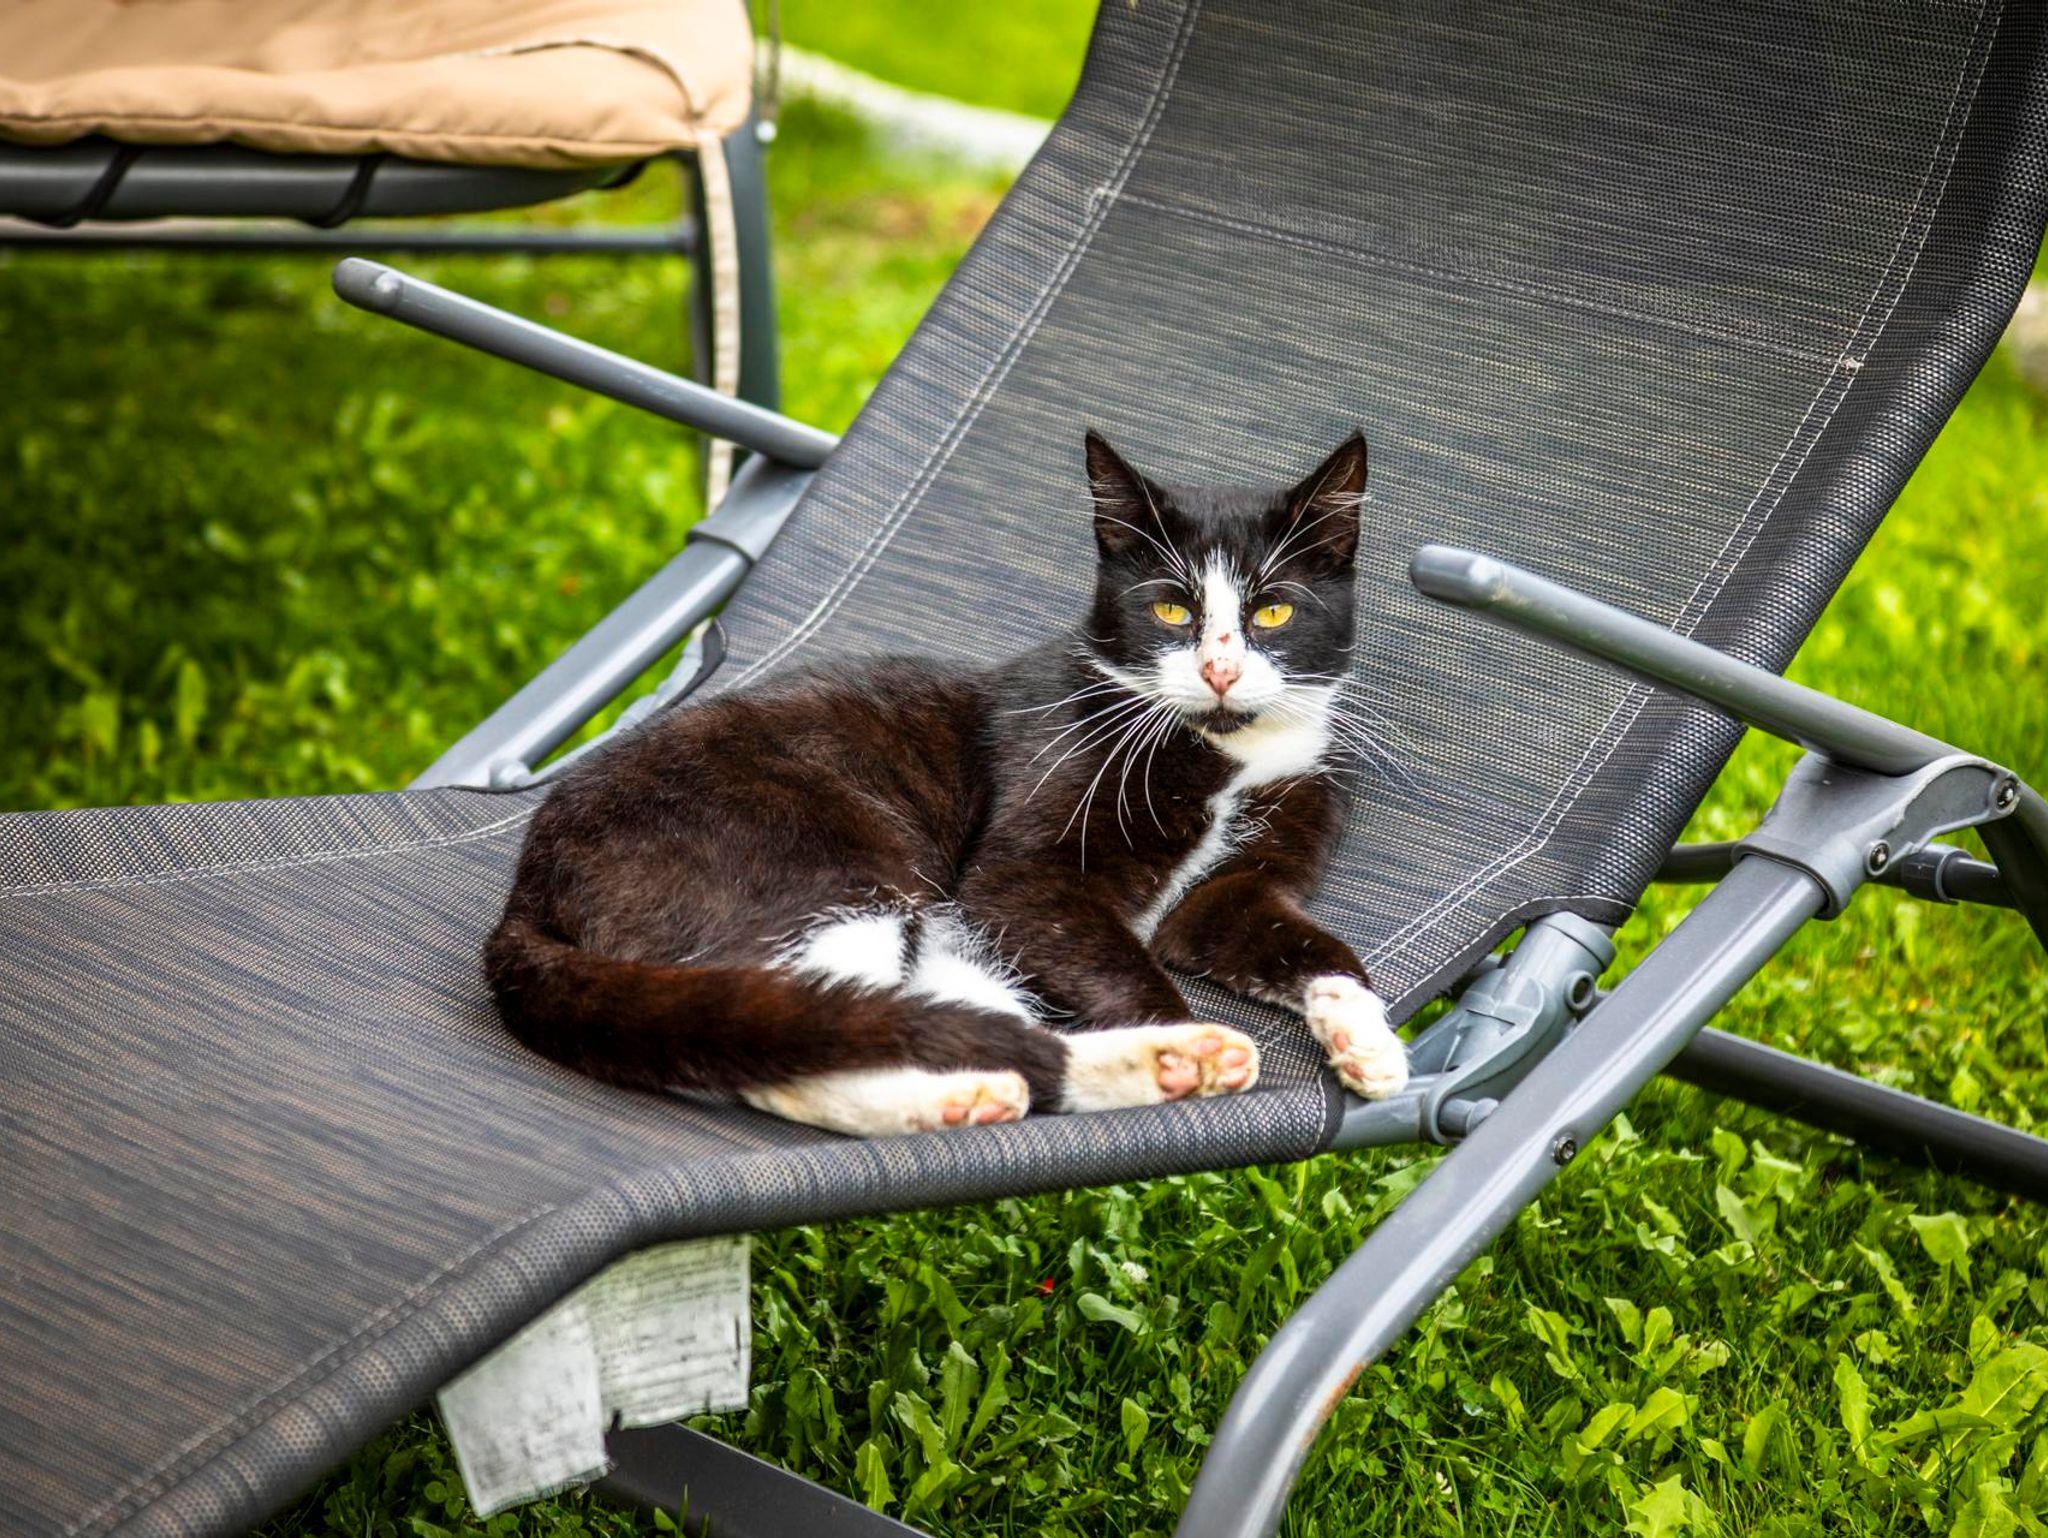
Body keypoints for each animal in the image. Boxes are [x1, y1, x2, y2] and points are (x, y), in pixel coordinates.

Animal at [484, 430, 1409, 1136]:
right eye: (1171, 610)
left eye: (1274, 611)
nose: (1220, 671)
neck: (1228, 755)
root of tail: (527, 887)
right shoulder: (1025, 869)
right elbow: (1123, 965)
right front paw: (1183, 1028)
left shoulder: (1244, 880)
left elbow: (1299, 940)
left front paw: (1364, 1033)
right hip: (827, 861)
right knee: (784, 1038)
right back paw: (1168, 1060)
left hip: (929, 934)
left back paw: (1017, 1086)